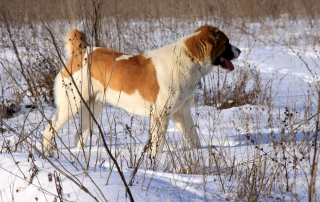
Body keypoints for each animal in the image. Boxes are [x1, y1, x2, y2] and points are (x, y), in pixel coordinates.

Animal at [43, 25, 241, 155]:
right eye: (227, 43)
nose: (239, 50)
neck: (189, 57)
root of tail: (82, 51)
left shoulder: (181, 112)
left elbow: (193, 137)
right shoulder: (161, 114)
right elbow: (157, 143)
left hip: (92, 107)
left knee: (80, 135)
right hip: (70, 104)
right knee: (50, 129)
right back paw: (48, 153)